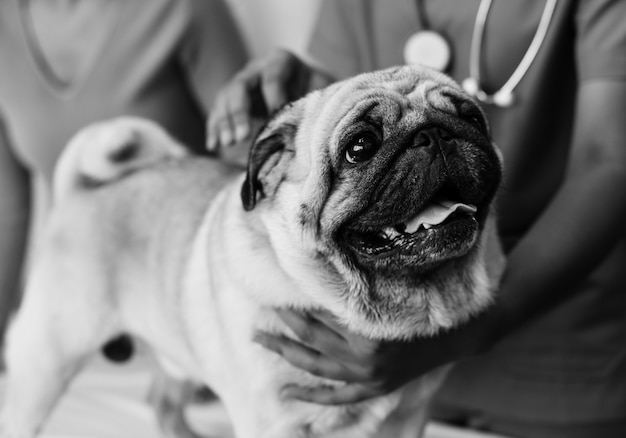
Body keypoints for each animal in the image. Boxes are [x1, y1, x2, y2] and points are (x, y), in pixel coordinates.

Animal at [1, 65, 502, 438]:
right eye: (360, 147)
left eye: (472, 118)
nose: (433, 134)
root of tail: (80, 191)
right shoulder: (273, 422)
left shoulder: (407, 418)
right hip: (48, 359)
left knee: (162, 402)